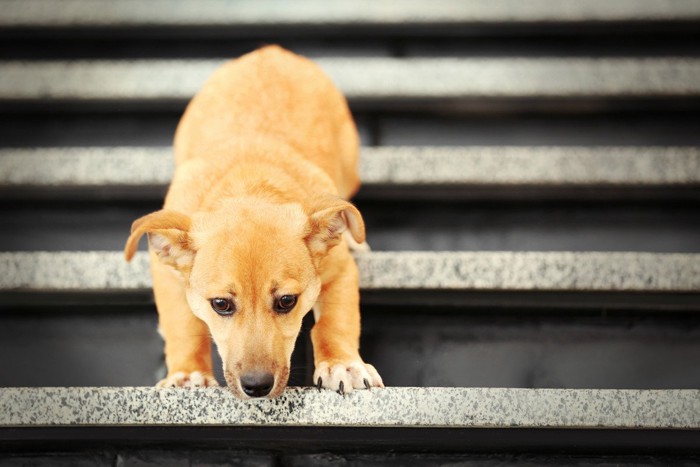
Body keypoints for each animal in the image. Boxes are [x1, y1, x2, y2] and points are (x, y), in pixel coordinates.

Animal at [127, 46, 388, 398]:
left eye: (287, 301)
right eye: (221, 304)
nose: (257, 386)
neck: (249, 186)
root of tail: (271, 52)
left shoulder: (339, 270)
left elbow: (336, 321)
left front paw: (342, 364)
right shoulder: (167, 274)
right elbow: (181, 325)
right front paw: (188, 374)